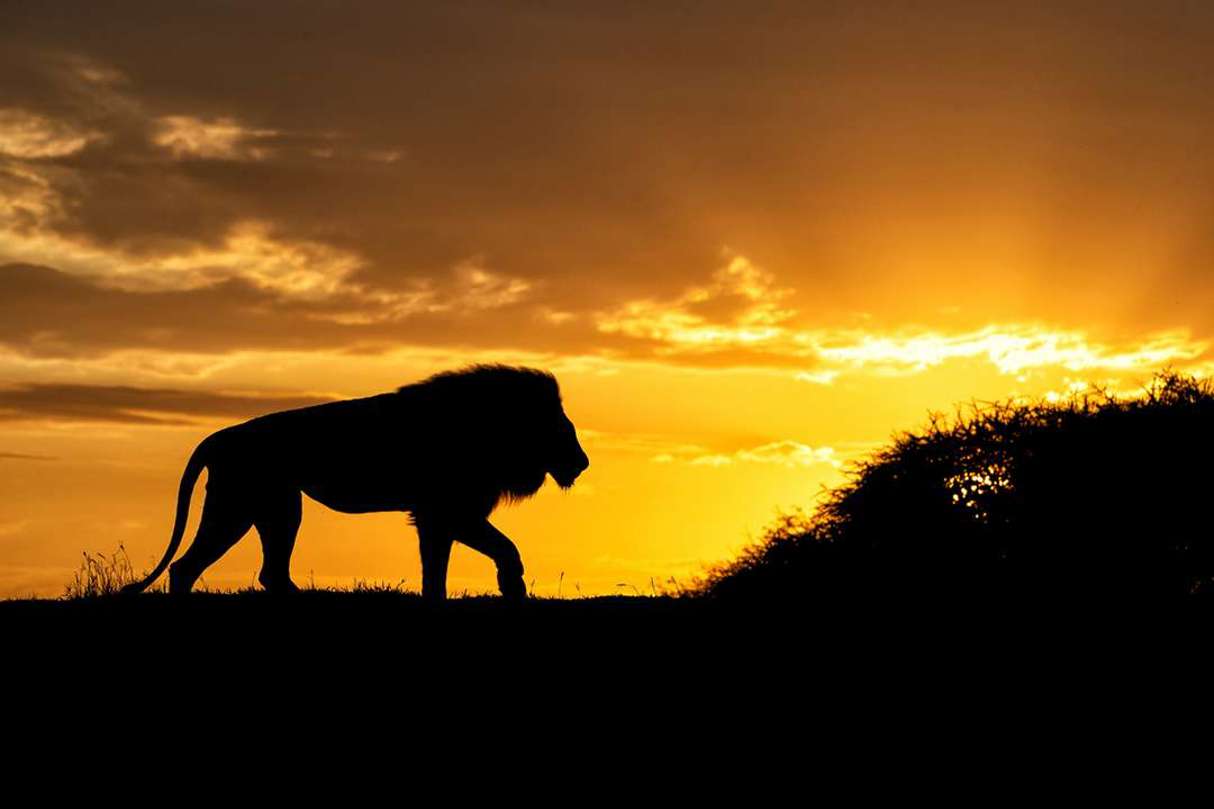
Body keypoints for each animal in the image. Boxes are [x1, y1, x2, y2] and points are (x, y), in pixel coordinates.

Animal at [121, 364, 590, 600]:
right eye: (560, 427)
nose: (583, 463)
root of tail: (222, 436)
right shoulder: (448, 510)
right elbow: (502, 550)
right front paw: (512, 589)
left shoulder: (440, 515)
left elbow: (438, 570)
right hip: (239, 506)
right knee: (185, 567)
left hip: (277, 506)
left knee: (269, 573)